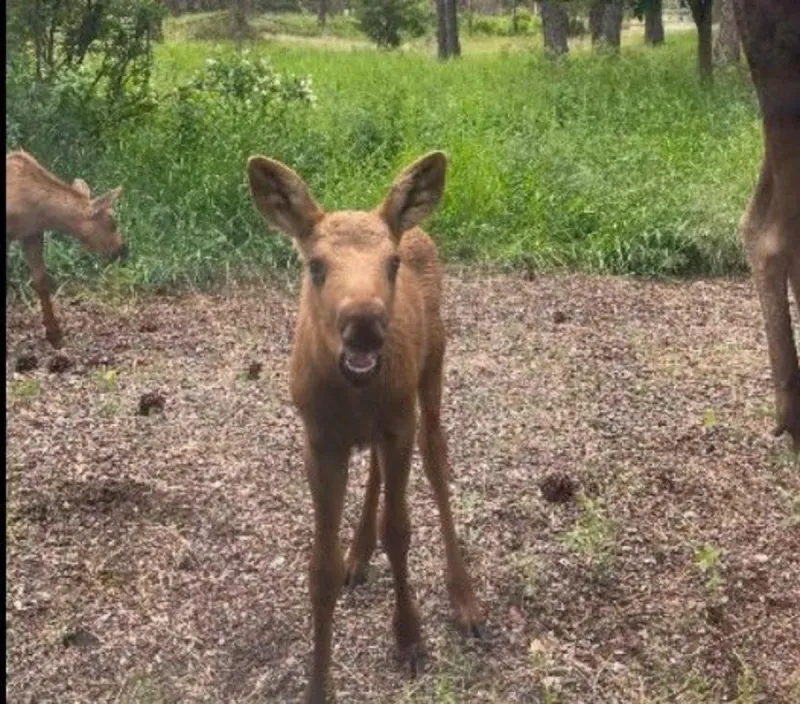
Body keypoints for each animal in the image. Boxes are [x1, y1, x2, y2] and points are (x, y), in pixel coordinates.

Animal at [246, 151, 484, 703]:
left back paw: (464, 599)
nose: (364, 323)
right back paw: (359, 552)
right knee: (375, 465)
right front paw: (318, 685)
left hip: (431, 373)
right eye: (314, 265)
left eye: (390, 264)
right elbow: (320, 568)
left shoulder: (399, 422)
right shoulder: (319, 440)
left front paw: (410, 638)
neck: (353, 394)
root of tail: (414, 227)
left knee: (437, 460)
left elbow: (400, 531)